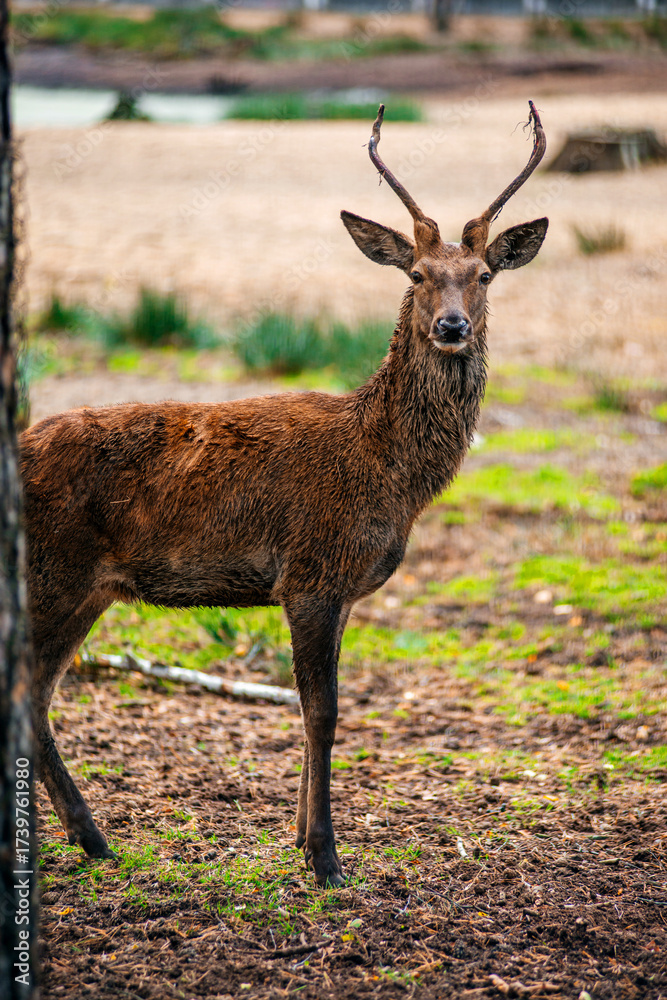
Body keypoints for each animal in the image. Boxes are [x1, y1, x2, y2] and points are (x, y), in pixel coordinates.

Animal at [21, 102, 547, 888]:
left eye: (483, 274)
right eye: (418, 273)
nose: (450, 326)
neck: (388, 472)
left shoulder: (339, 587)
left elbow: (314, 711)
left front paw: (301, 841)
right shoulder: (311, 573)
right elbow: (323, 713)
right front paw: (325, 857)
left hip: (83, 587)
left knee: (35, 696)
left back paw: (90, 841)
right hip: (56, 571)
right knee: (28, 694)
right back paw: (88, 837)